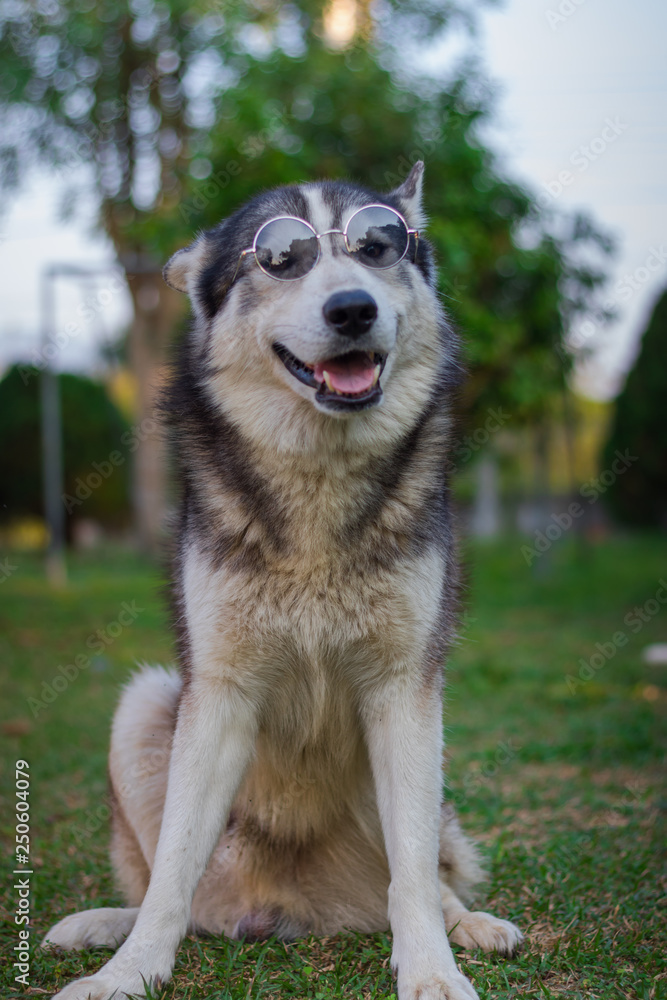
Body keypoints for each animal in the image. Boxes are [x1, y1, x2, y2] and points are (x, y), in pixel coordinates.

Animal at [41, 160, 524, 996]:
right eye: (279, 259)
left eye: (378, 245)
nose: (352, 307)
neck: (317, 479)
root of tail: (289, 910)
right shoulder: (217, 690)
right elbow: (171, 869)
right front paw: (126, 972)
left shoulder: (404, 688)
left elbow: (412, 874)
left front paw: (432, 969)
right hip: (144, 703)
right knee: (174, 891)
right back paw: (107, 926)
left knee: (428, 872)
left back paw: (468, 923)